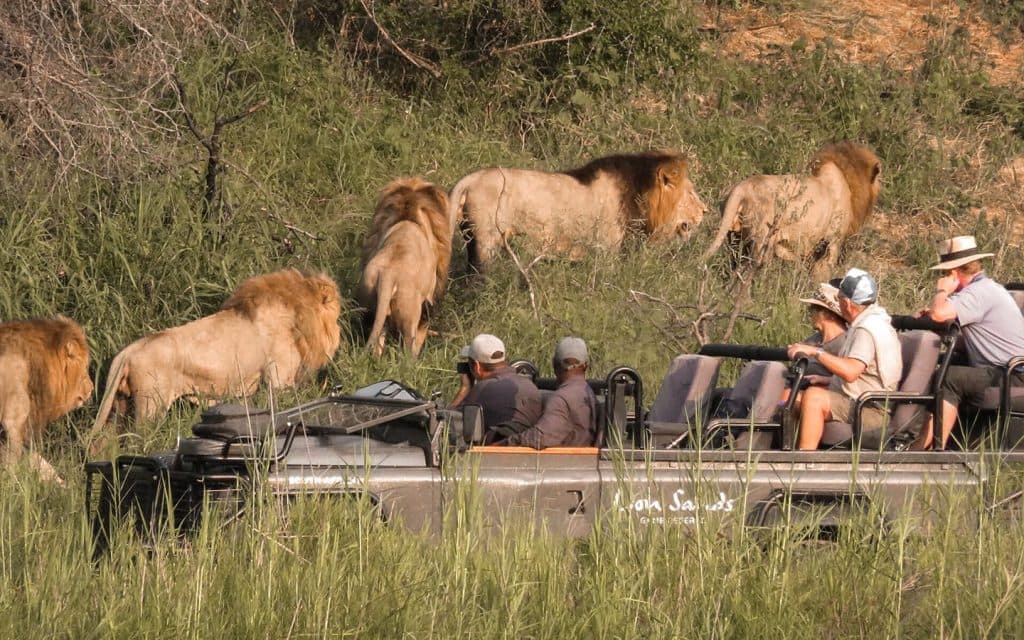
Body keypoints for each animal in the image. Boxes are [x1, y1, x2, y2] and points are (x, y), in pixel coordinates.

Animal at [356, 177, 451, 356]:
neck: (408, 217)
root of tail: (388, 275)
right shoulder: (430, 296)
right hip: (410, 313)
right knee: (408, 349)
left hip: (369, 299)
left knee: (377, 341)